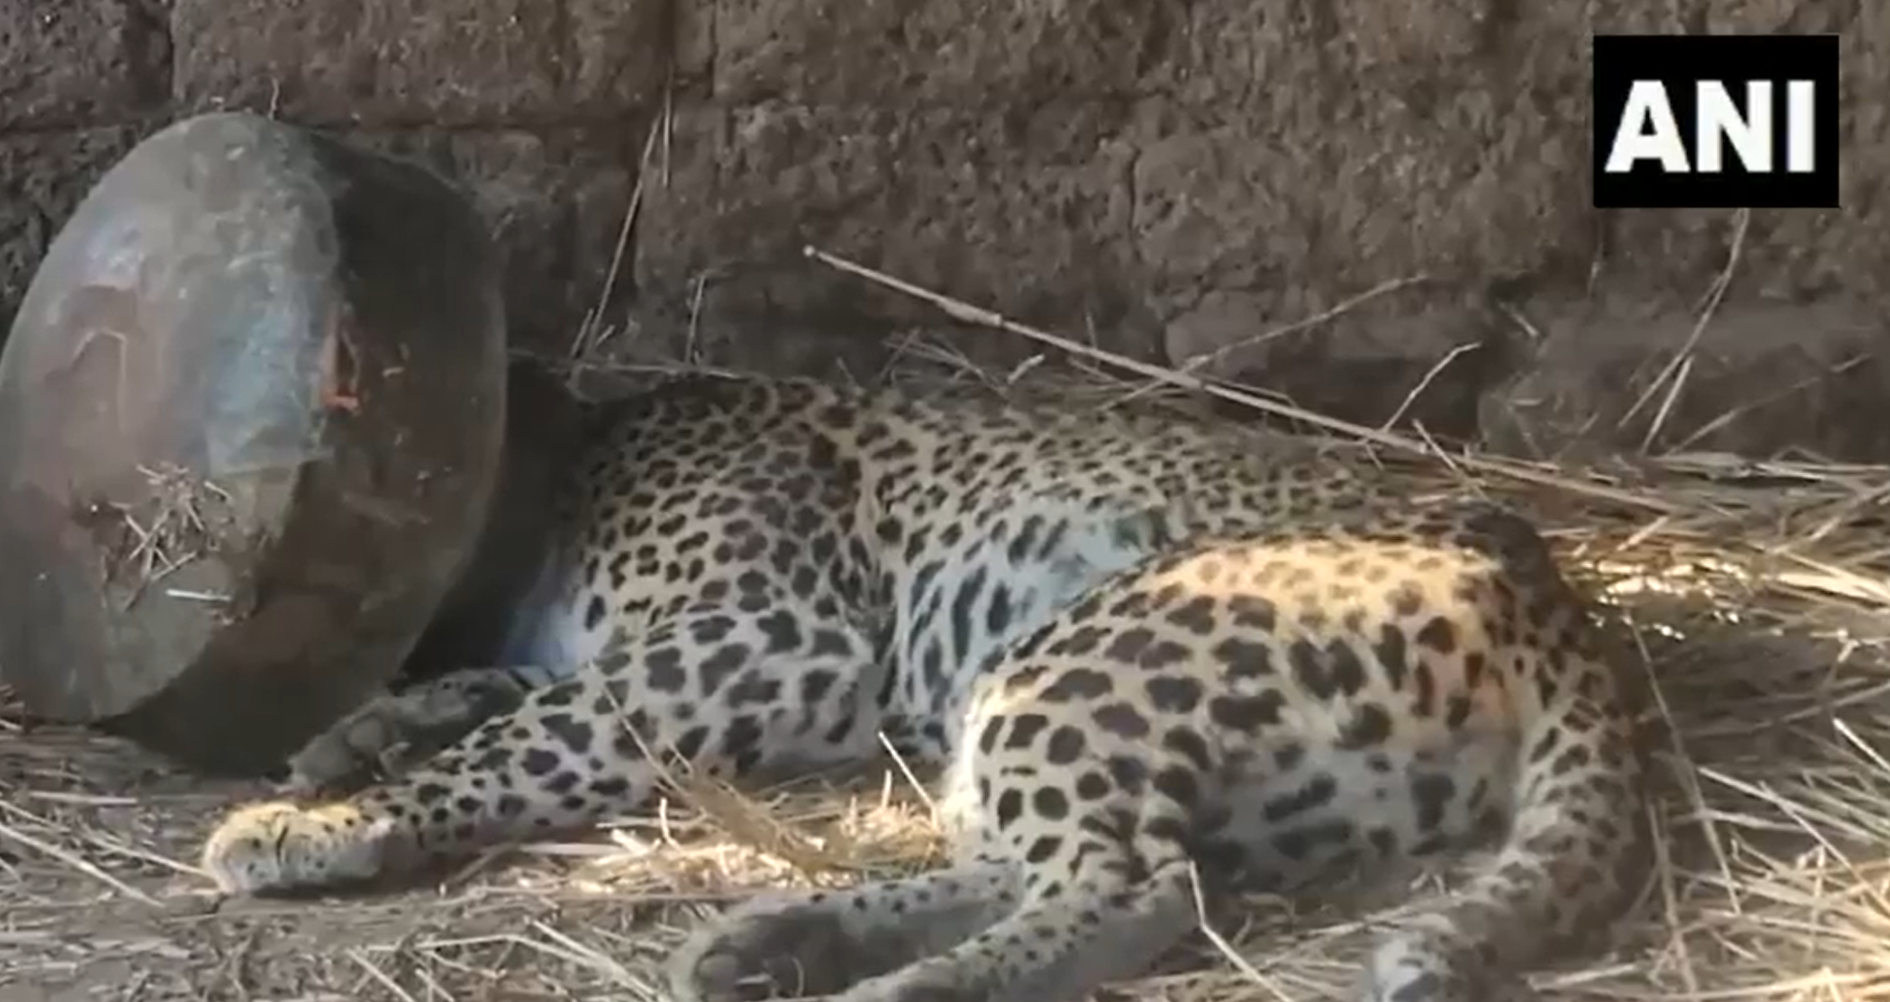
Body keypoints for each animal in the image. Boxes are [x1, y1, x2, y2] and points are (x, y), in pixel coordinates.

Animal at [191, 370, 1640, 990]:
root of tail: (1550, 586)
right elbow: (505, 692)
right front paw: (357, 735)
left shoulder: (766, 641)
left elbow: (531, 734)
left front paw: (325, 821)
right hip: (1050, 710)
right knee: (1045, 859)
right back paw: (773, 941)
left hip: (1076, 656)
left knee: (1134, 885)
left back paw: (901, 985)